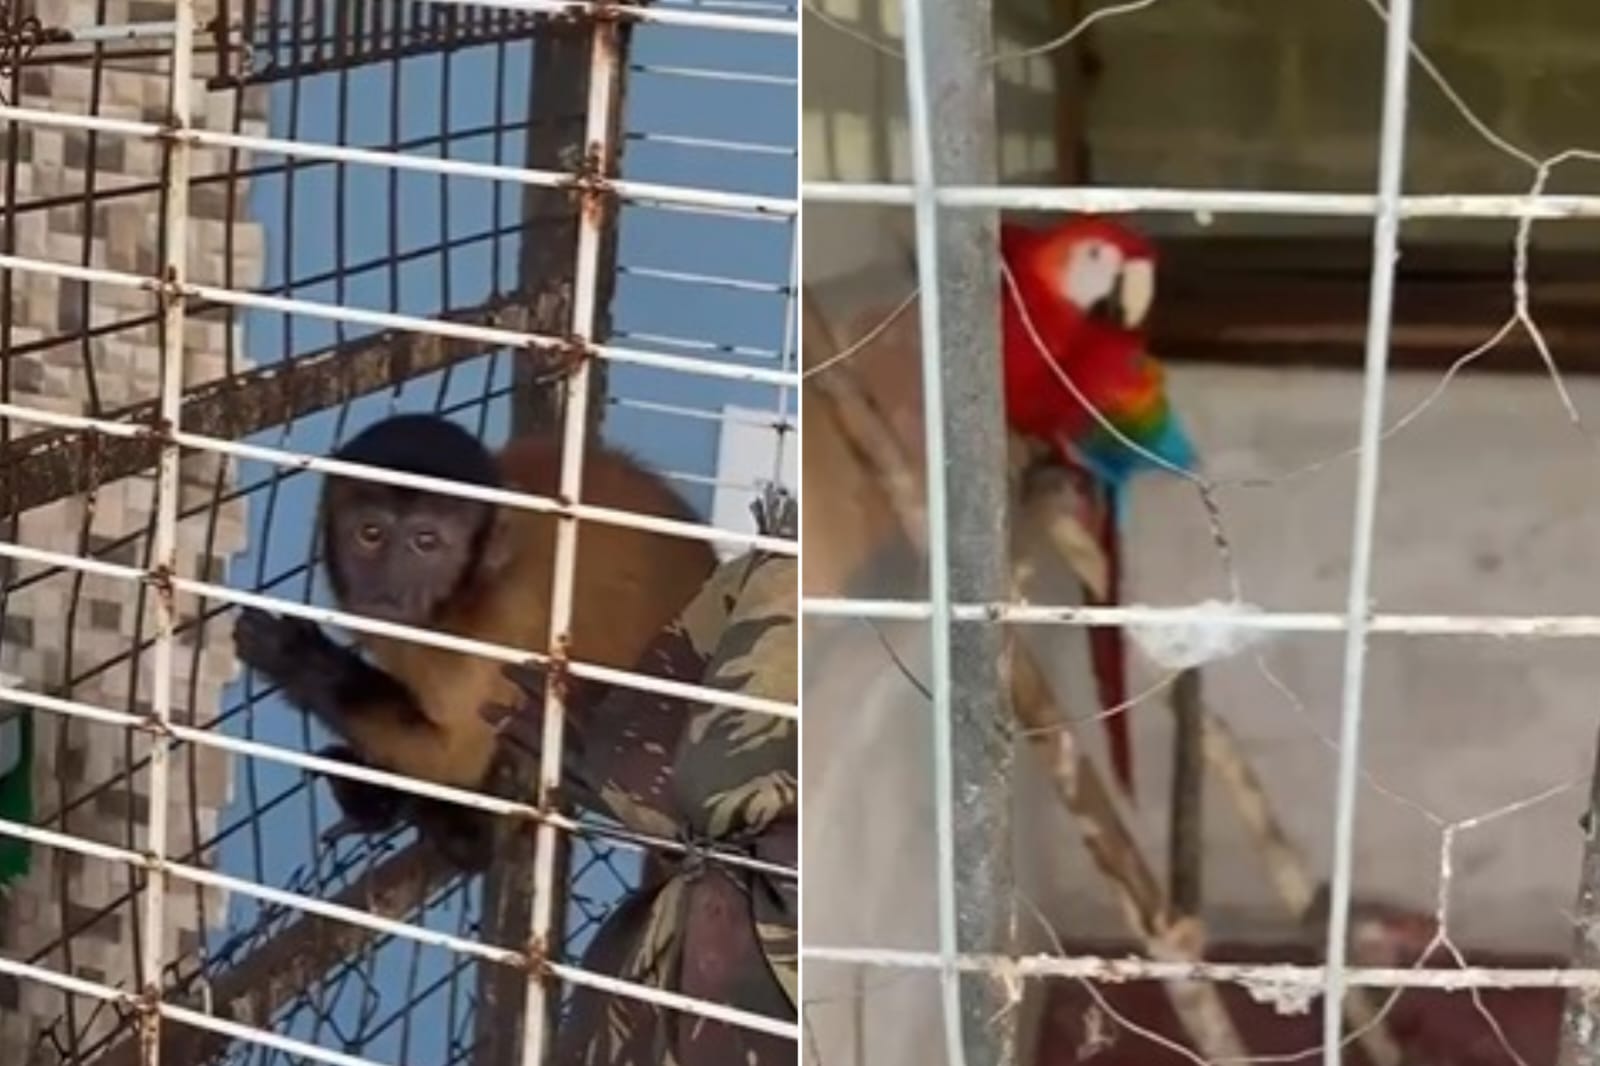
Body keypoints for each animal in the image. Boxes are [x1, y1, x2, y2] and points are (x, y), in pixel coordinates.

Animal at [231, 412, 718, 870]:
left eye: (426, 542)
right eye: (370, 534)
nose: (388, 588)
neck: (474, 586)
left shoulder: (500, 627)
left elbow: (450, 761)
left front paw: (296, 659)